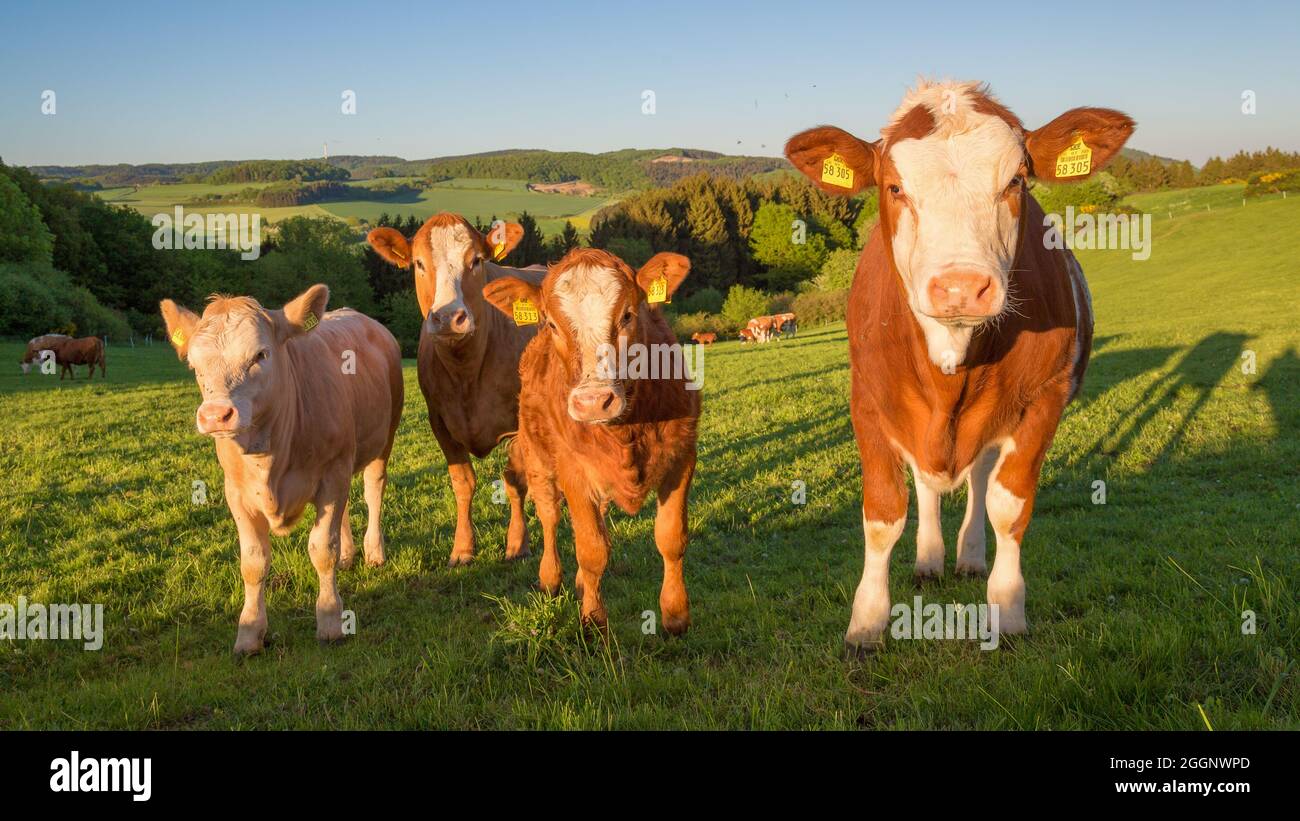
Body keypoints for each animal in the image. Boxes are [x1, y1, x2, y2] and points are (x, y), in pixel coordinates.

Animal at [159, 285, 403, 654]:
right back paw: (349, 556)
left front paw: (330, 619)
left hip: (382, 438)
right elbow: (253, 562)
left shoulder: (331, 474)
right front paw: (249, 632)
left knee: (374, 490)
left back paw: (374, 551)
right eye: (194, 364)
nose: (215, 415)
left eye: (260, 354)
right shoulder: (236, 492)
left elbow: (322, 549)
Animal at [366, 213, 542, 566]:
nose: (448, 317)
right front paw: (462, 548)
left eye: (476, 261)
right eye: (419, 263)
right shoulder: (440, 422)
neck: (466, 372)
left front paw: (518, 543)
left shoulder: (518, 423)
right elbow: (462, 483)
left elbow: (514, 482)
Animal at [482, 249, 701, 636]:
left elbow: (671, 538)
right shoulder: (573, 470)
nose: (593, 401)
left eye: (628, 314)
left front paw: (675, 615)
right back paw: (550, 578)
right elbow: (592, 548)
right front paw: (593, 620)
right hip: (538, 458)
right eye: (552, 324)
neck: (627, 430)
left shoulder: (682, 457)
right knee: (550, 515)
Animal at [785, 80, 1133, 652]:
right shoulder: (868, 401)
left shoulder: (1046, 398)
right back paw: (930, 559)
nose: (959, 287)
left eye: (1016, 181)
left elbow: (1008, 506)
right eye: (894, 187)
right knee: (927, 484)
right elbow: (883, 513)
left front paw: (1008, 608)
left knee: (980, 479)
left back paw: (968, 556)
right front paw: (867, 621)